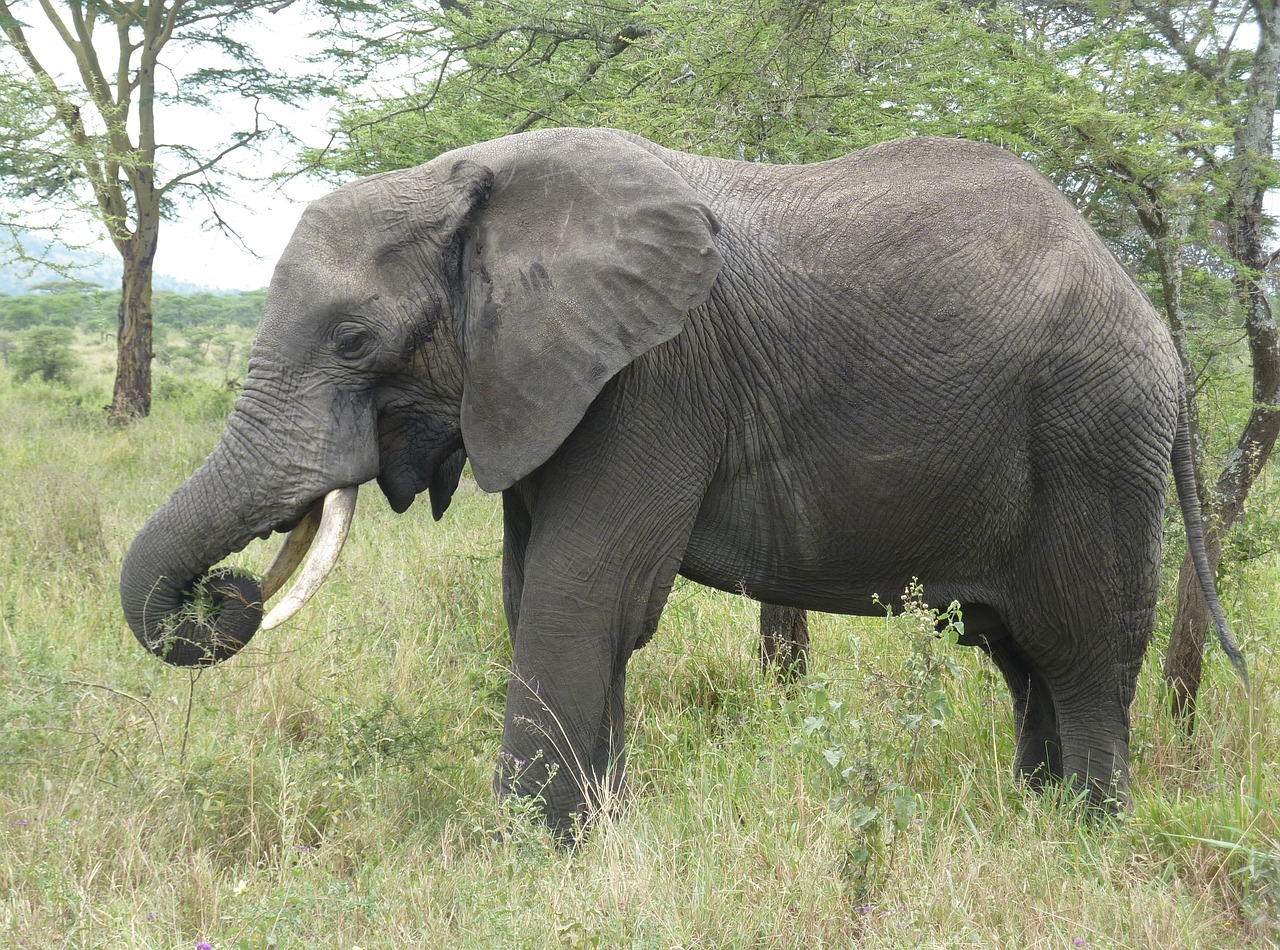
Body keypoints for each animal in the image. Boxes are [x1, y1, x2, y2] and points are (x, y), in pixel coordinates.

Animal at [117, 128, 1239, 839]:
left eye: (353, 340)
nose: (229, 591)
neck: (468, 179)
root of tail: (1160, 332)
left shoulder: (653, 379)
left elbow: (582, 594)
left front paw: (526, 855)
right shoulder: (549, 383)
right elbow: (538, 593)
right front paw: (598, 835)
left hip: (1095, 437)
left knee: (1081, 648)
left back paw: (1085, 837)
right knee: (1019, 656)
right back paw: (1030, 817)